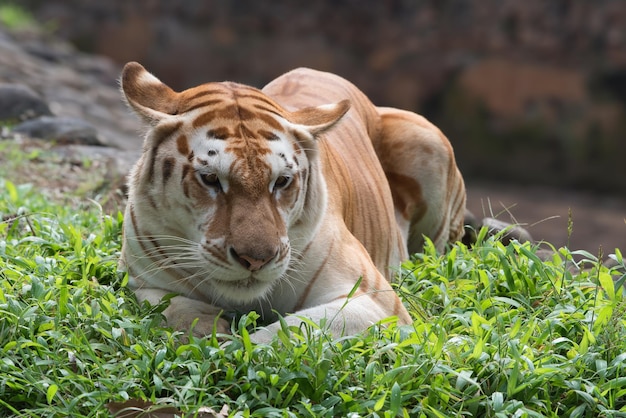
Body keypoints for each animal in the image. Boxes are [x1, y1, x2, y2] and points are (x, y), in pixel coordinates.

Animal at [119, 62, 466, 342]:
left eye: (281, 181)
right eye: (210, 179)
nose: (255, 260)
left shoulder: (375, 301)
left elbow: (285, 333)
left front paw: (233, 353)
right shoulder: (143, 282)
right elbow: (174, 307)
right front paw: (206, 329)